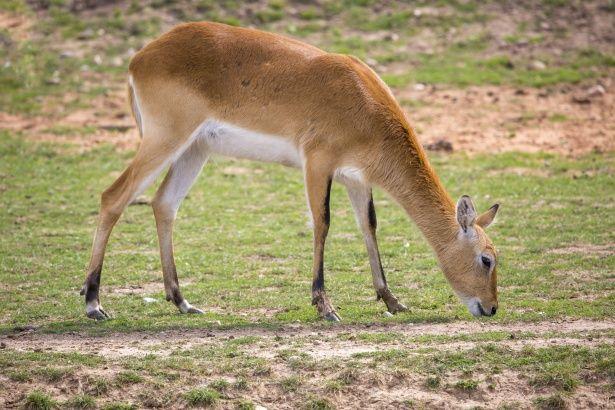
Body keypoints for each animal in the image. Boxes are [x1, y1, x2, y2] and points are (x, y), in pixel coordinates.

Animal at [79, 22, 500, 322]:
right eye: (487, 259)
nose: (492, 308)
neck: (364, 103)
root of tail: (140, 57)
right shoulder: (317, 162)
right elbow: (323, 222)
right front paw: (325, 306)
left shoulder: (356, 177)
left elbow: (369, 226)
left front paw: (392, 301)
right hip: (164, 139)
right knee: (113, 196)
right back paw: (94, 303)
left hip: (195, 150)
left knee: (164, 204)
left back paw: (182, 301)